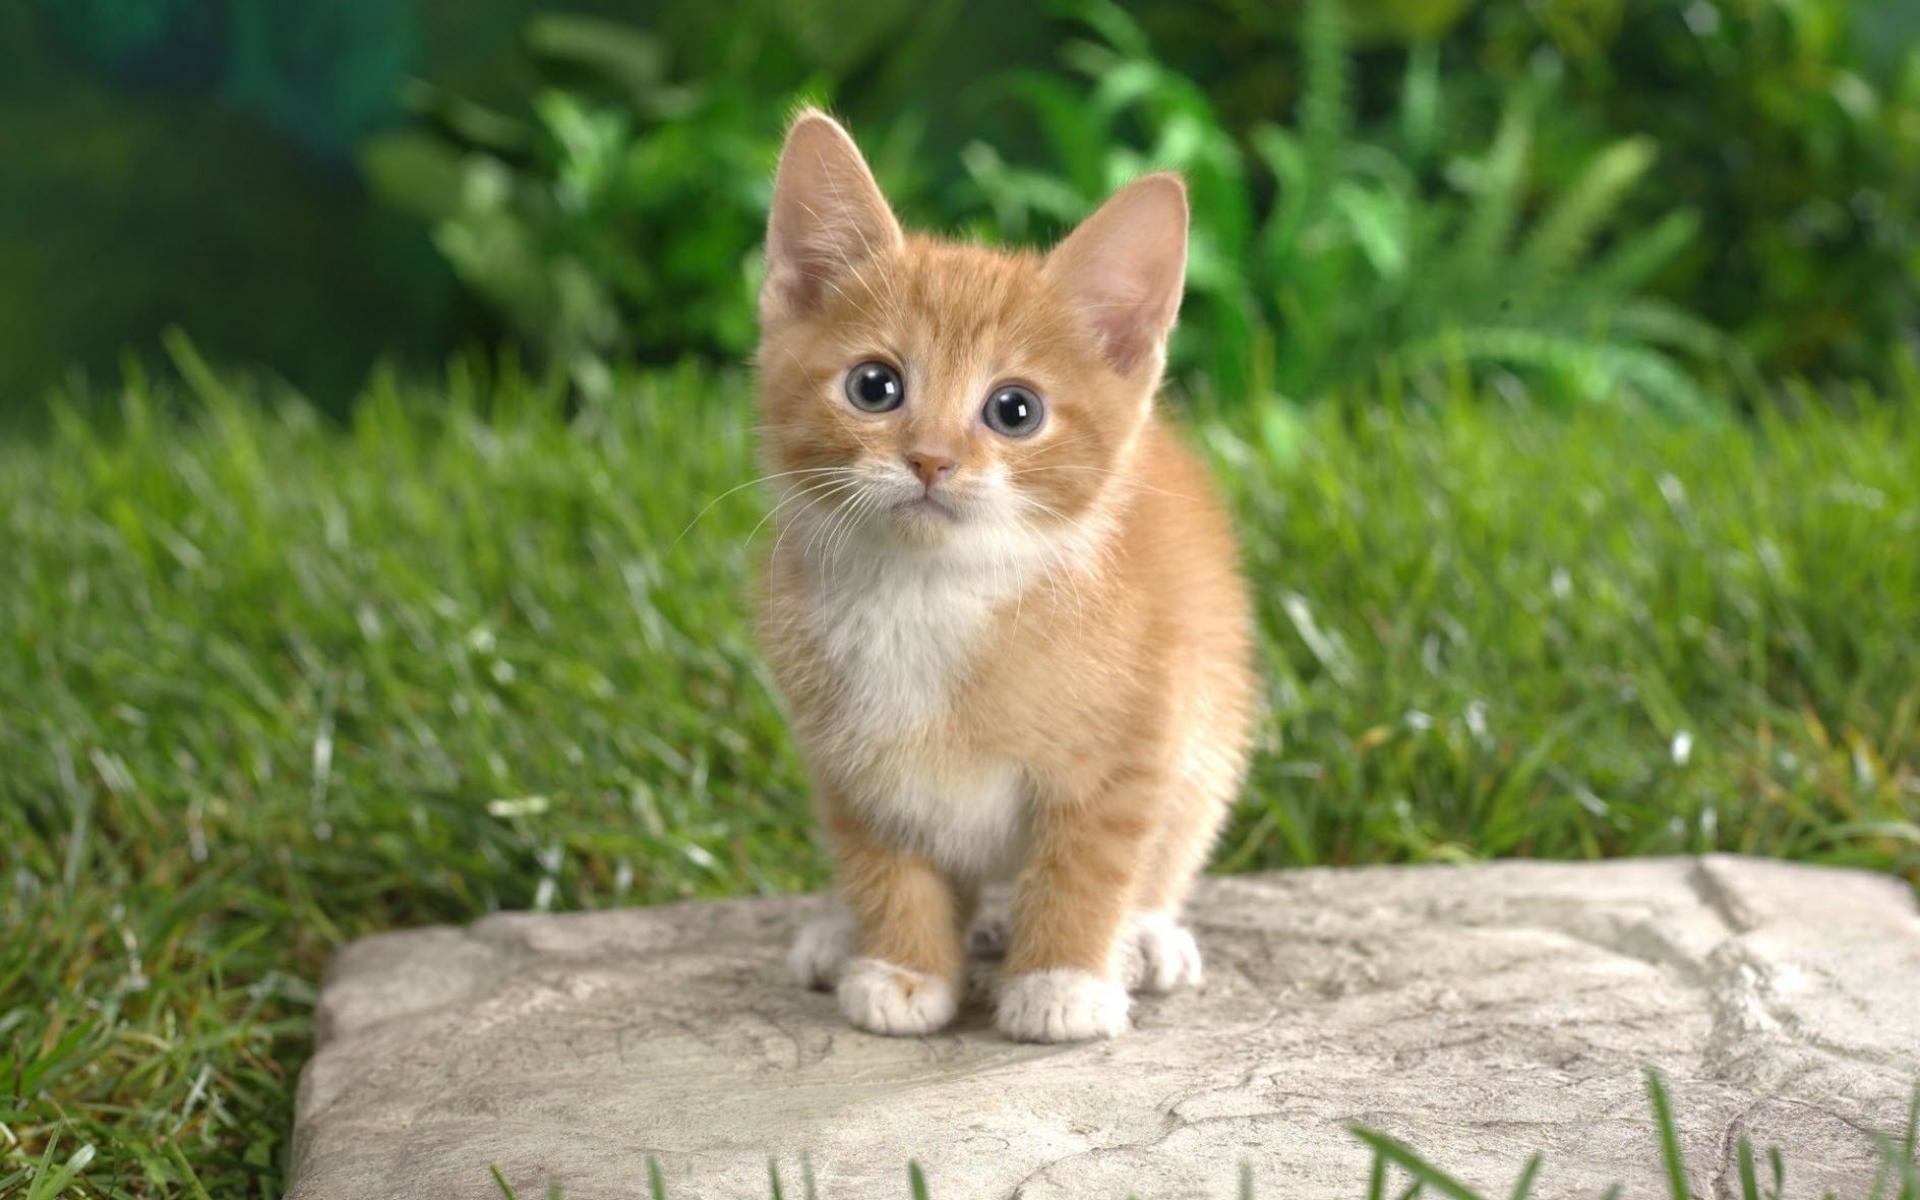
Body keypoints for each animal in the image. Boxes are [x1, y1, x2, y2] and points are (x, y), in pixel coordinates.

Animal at [748, 109, 1259, 1036]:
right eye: (874, 386)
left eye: (1014, 410)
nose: (930, 460)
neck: (931, 594)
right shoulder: (850, 762)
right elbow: (884, 863)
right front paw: (903, 967)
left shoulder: (1134, 743)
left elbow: (1089, 862)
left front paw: (1063, 978)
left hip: (1213, 729)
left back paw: (1145, 935)